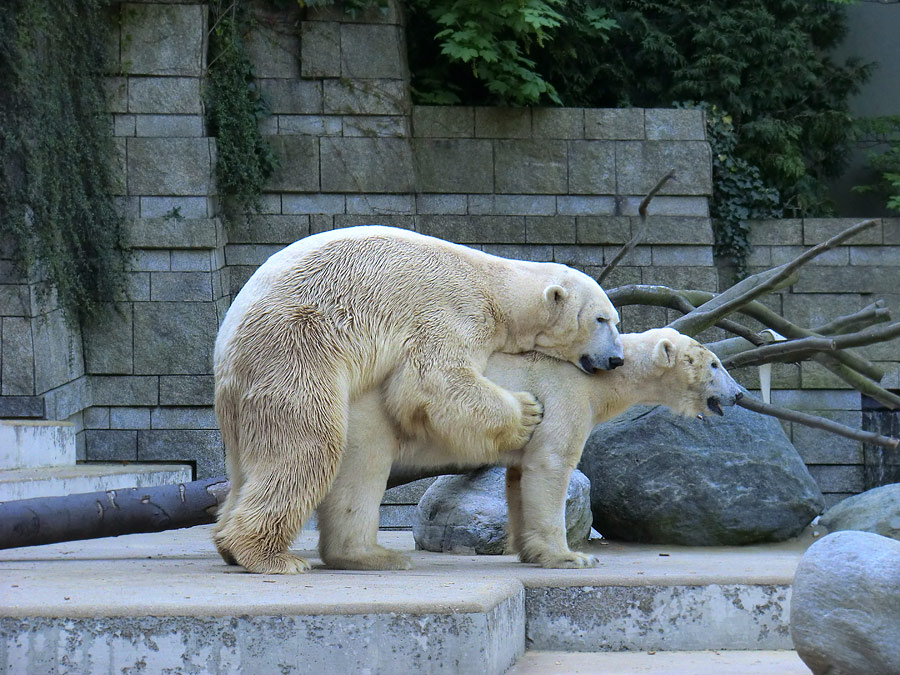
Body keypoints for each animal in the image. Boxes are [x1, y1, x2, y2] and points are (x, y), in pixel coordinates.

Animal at [212, 224, 624, 572]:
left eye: (615, 320)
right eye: (601, 319)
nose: (616, 359)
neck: (497, 287)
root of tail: (225, 345)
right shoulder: (454, 311)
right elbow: (435, 378)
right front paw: (526, 412)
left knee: (250, 465)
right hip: (295, 346)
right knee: (308, 444)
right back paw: (271, 556)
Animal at [320, 328, 740, 572]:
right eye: (715, 364)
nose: (738, 393)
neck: (602, 374)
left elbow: (520, 477)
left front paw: (530, 551)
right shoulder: (566, 395)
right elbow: (552, 463)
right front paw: (573, 556)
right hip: (369, 409)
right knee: (365, 468)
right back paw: (369, 556)